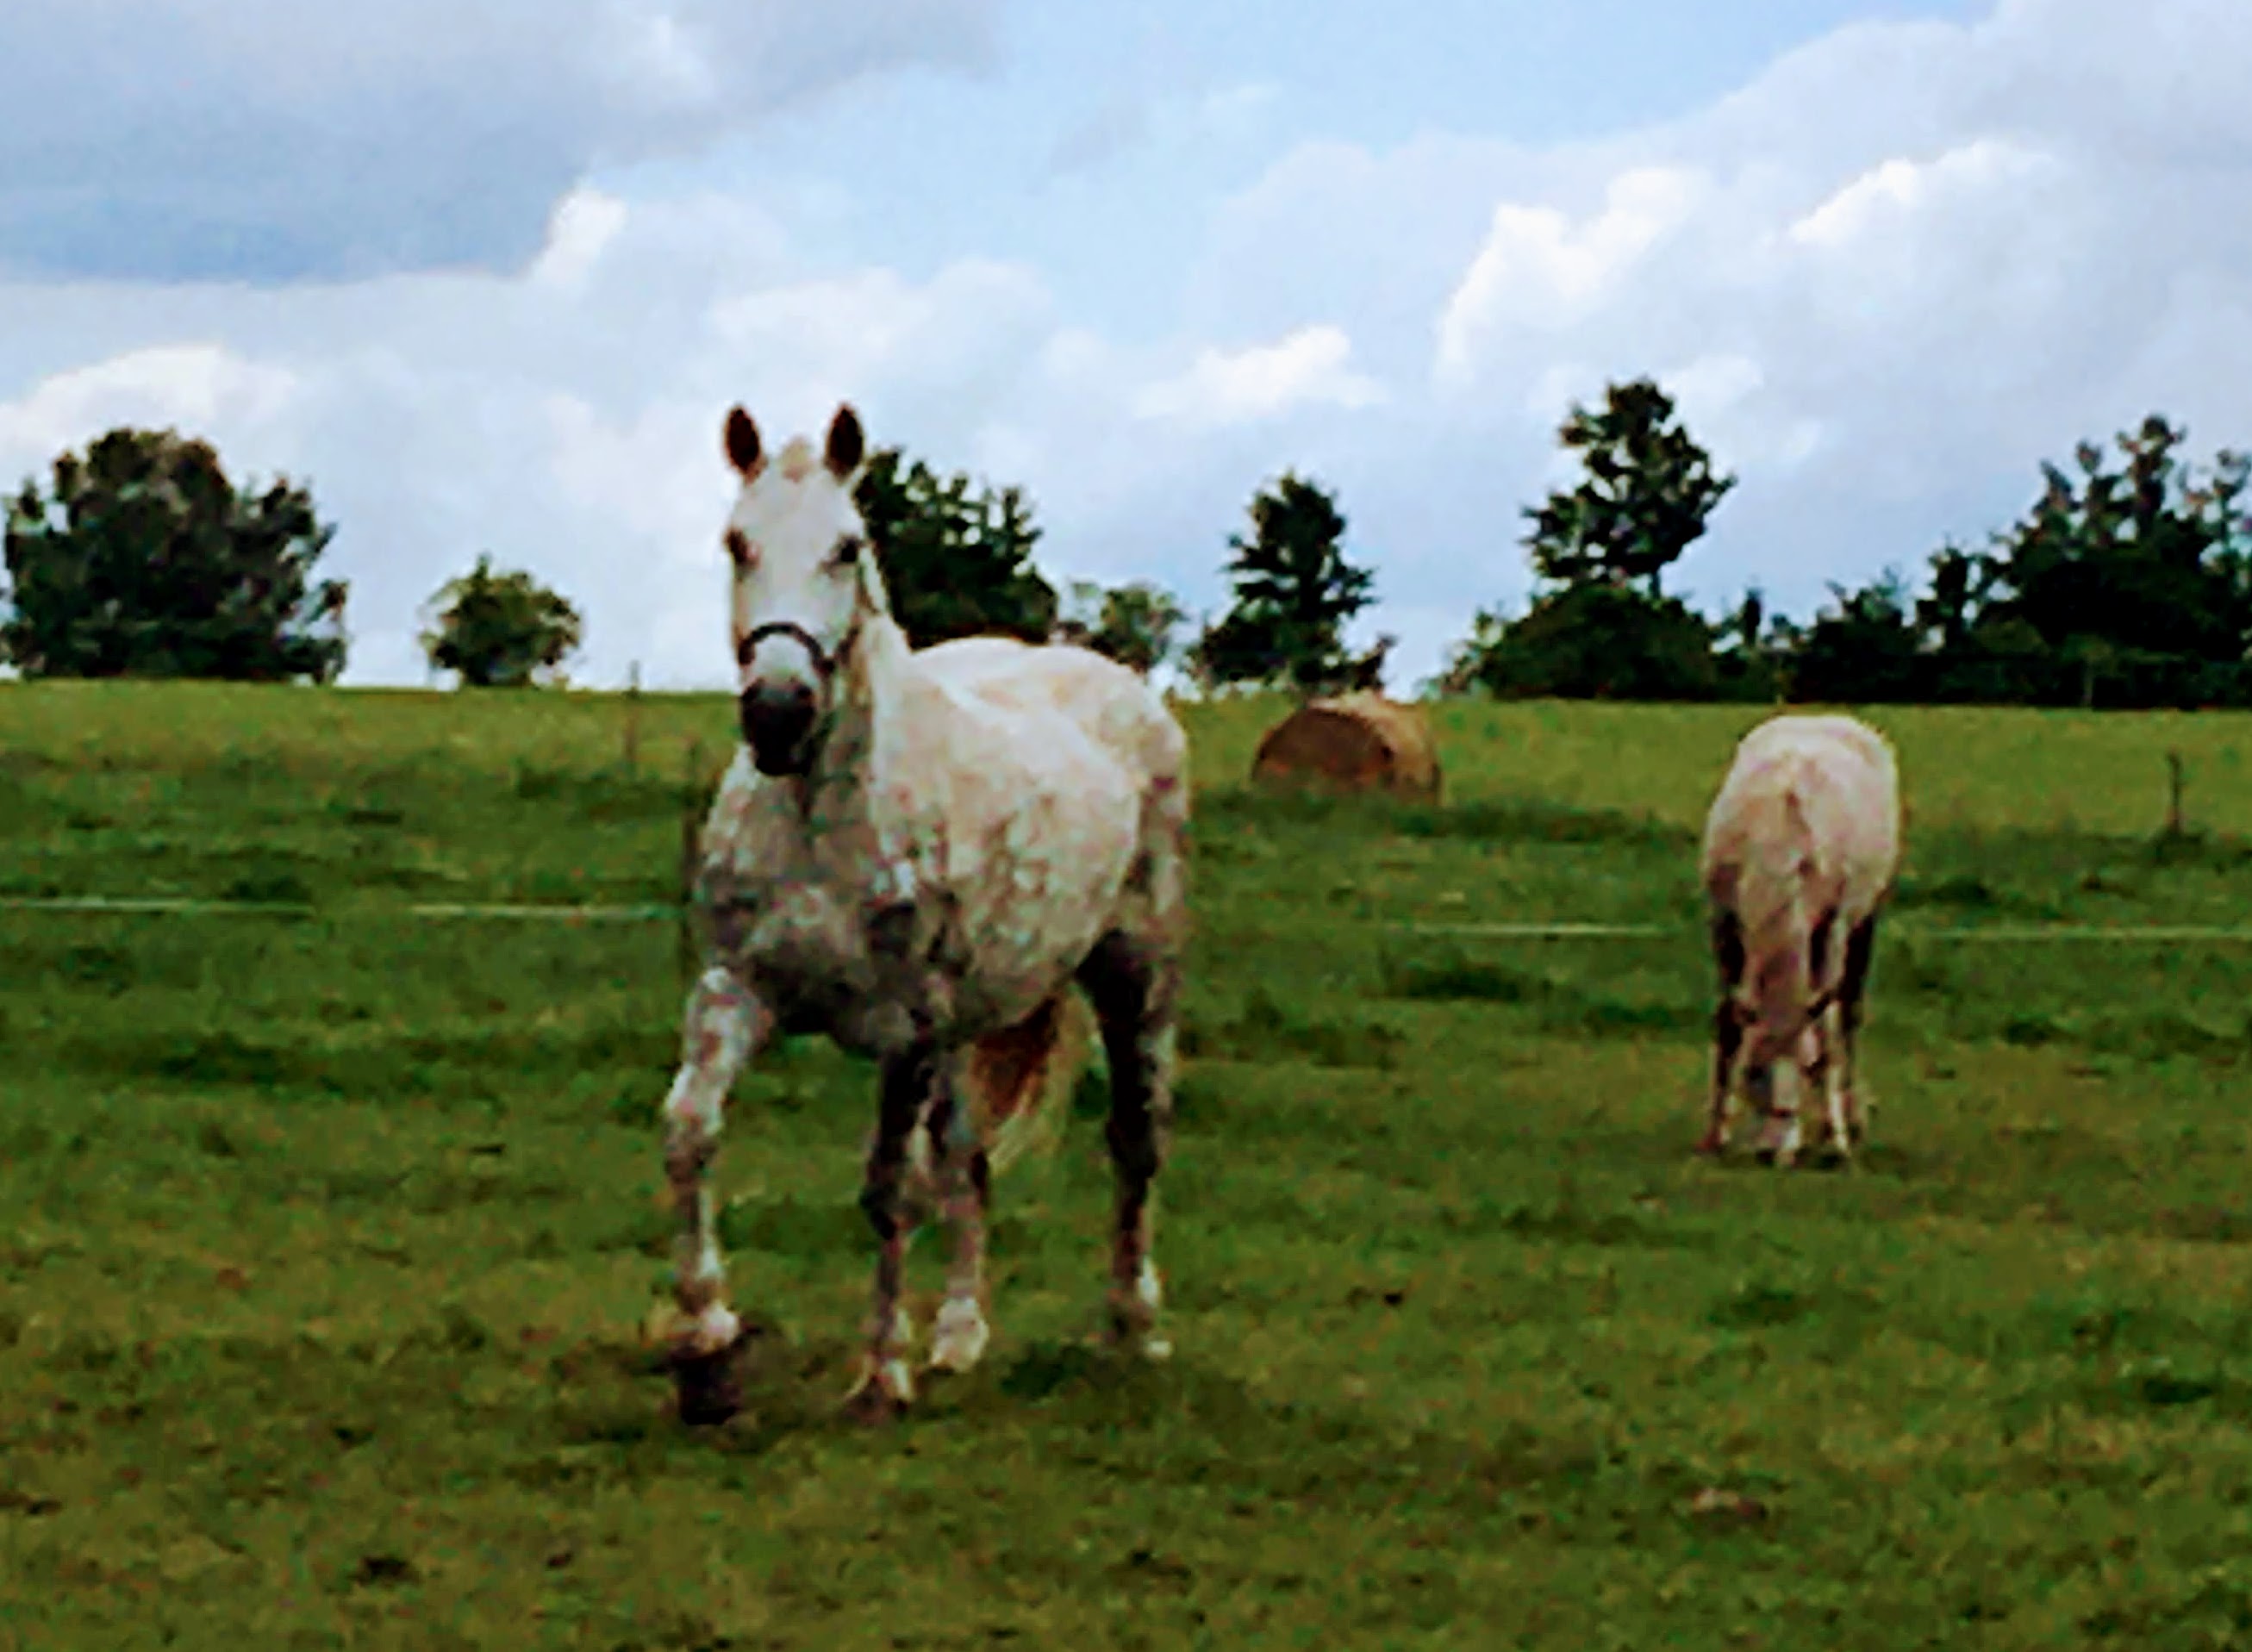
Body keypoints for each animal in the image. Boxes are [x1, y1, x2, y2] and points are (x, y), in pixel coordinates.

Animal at [648, 400, 1188, 1422]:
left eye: (846, 547)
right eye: (737, 541)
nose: (777, 712)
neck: (822, 818)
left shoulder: (908, 1028)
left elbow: (888, 1191)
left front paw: (880, 1370)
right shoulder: (735, 990)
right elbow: (692, 1130)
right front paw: (706, 1333)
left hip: (1134, 973)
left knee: (1135, 1141)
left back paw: (1131, 1325)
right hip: (969, 1025)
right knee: (967, 1160)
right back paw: (960, 1334)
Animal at [1693, 720, 1900, 1170]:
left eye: (1808, 1068)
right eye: (1754, 1071)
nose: (1773, 1152)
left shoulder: (1835, 924)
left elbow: (1829, 1032)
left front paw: (1836, 1137)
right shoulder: (1724, 917)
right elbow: (1729, 1021)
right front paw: (1715, 1134)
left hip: (1865, 919)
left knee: (1849, 1015)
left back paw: (1849, 1120)